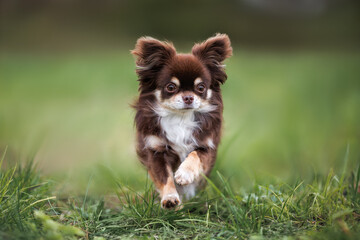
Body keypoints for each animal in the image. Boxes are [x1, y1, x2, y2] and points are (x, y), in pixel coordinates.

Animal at [131, 33, 232, 208]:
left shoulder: (206, 147)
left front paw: (184, 174)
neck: (180, 117)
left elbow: (194, 155)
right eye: (171, 87)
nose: (188, 97)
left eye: (201, 87)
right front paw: (170, 198)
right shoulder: (156, 151)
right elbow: (165, 177)